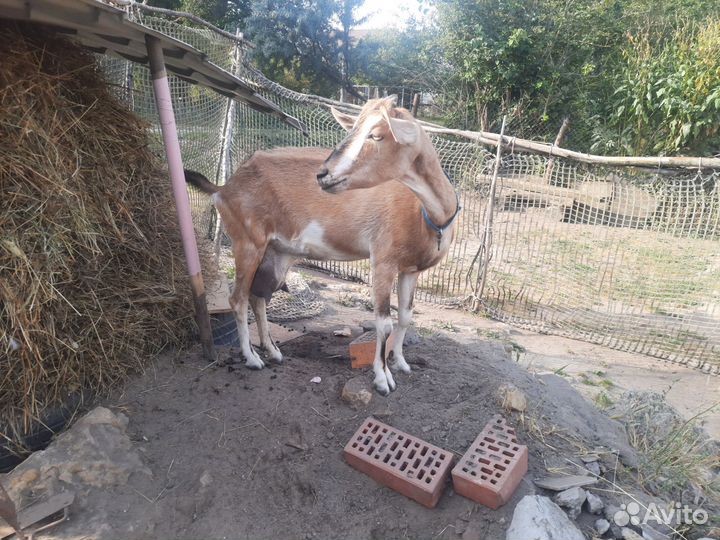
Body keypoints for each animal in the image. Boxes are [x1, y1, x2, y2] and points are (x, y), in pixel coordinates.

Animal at [186, 96, 460, 395]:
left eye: (377, 135)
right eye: (354, 129)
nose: (323, 175)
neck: (430, 215)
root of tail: (224, 188)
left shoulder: (411, 269)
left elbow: (406, 317)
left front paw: (401, 363)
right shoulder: (383, 261)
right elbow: (384, 323)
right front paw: (382, 380)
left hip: (276, 254)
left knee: (259, 298)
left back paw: (274, 353)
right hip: (247, 243)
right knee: (238, 299)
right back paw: (252, 359)